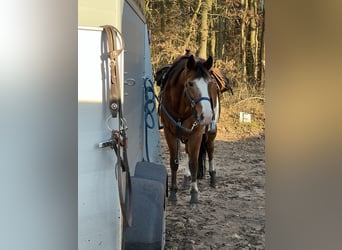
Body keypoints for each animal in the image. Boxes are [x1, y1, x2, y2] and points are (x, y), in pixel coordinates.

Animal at [158, 53, 218, 203]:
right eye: (190, 83)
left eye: (209, 83)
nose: (207, 115)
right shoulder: (170, 133)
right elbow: (174, 163)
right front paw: (173, 193)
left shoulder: (196, 133)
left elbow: (194, 163)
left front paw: (194, 194)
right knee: (188, 152)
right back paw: (186, 179)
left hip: (210, 133)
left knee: (210, 149)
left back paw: (213, 177)